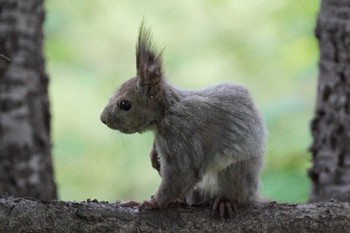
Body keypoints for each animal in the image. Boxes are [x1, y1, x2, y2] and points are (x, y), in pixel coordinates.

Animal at [100, 22, 266, 218]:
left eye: (125, 104)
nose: (103, 119)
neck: (167, 111)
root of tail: (253, 193)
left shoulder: (180, 135)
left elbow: (181, 174)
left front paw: (152, 203)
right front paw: (153, 155)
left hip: (233, 172)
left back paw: (225, 201)